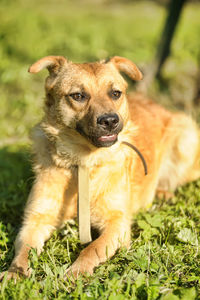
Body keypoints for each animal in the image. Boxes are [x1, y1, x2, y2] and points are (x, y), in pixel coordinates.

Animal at [0, 54, 199, 282]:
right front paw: (14, 273)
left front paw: (76, 272)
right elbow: (24, 250)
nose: (110, 120)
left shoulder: (117, 224)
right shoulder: (35, 220)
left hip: (186, 140)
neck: (84, 161)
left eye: (115, 93)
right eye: (78, 96)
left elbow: (92, 248)